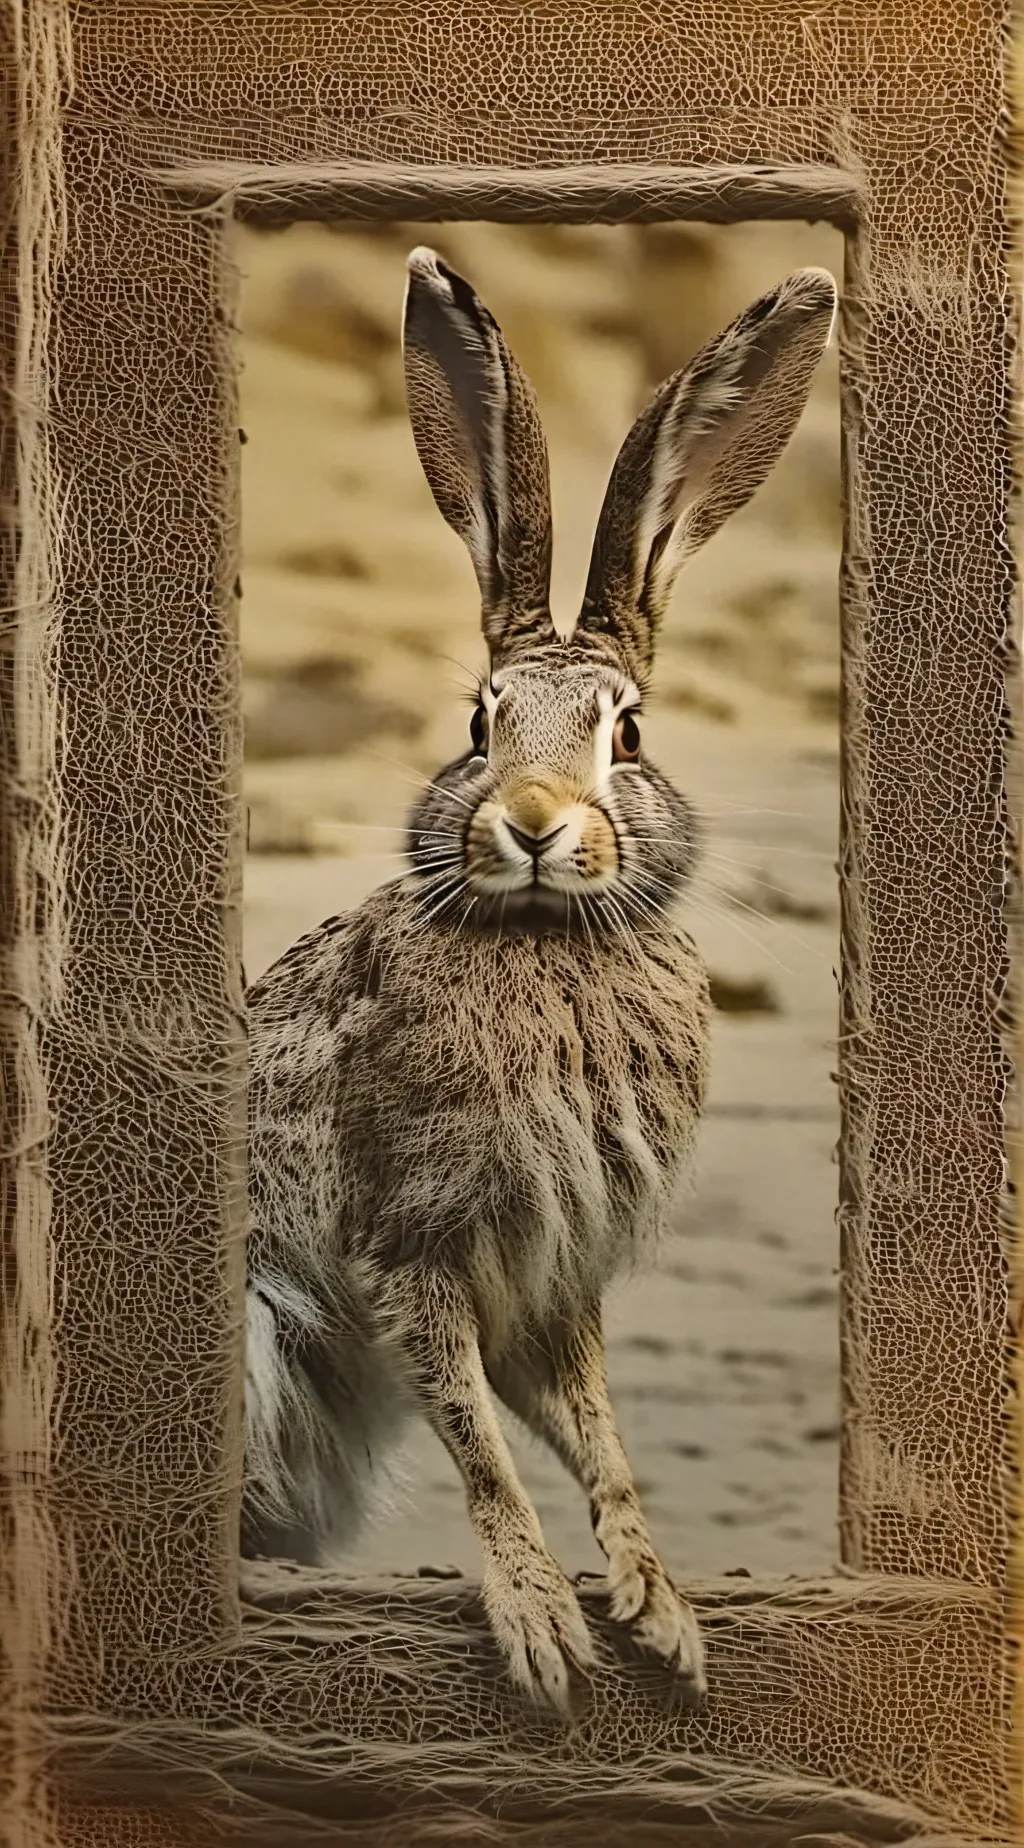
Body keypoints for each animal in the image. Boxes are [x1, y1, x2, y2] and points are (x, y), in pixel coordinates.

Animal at [241, 246, 837, 1713]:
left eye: (629, 733)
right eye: (477, 723)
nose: (529, 822)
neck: (547, 940)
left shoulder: (553, 1277)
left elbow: (592, 1434)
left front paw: (663, 1615)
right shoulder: (411, 1239)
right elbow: (479, 1441)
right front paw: (541, 1627)